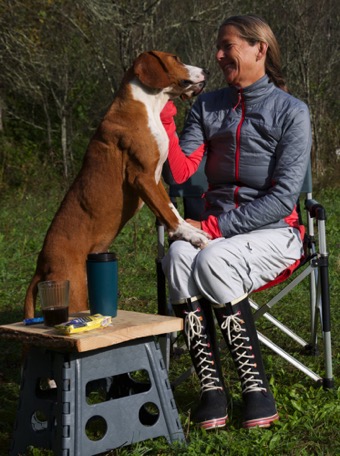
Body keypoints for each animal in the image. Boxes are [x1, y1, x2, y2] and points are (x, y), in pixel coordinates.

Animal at [23, 50, 210, 318]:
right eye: (175, 58)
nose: (206, 70)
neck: (148, 104)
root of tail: (41, 267)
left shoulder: (155, 180)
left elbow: (170, 210)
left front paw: (188, 230)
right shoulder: (142, 177)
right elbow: (168, 213)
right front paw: (190, 235)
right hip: (73, 293)